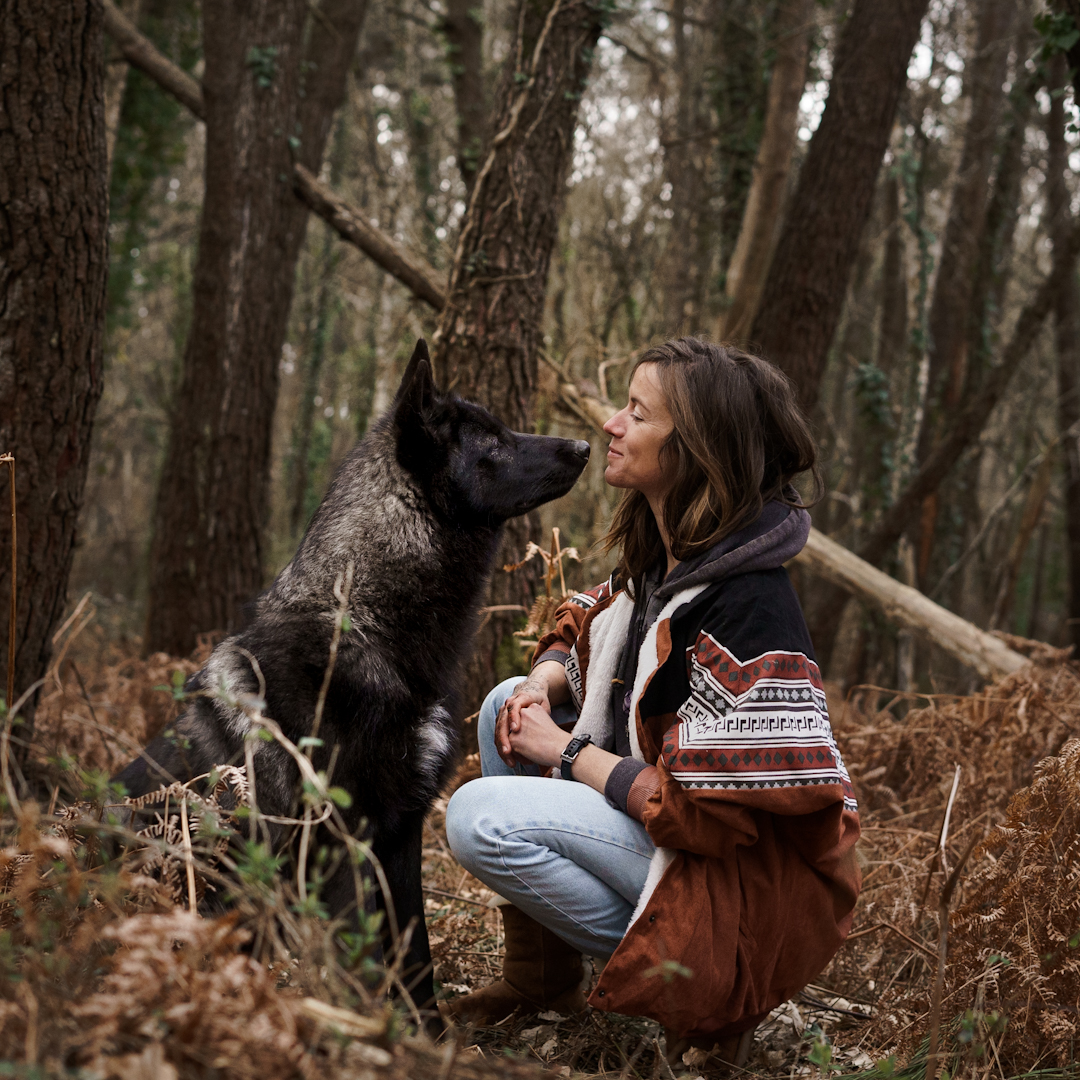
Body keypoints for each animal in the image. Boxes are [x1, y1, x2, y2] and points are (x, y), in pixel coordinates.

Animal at [116, 341, 591, 1023]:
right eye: (495, 441)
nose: (586, 445)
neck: (363, 621)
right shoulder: (343, 837)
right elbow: (362, 956)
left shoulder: (400, 831)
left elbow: (413, 952)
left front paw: (426, 1033)